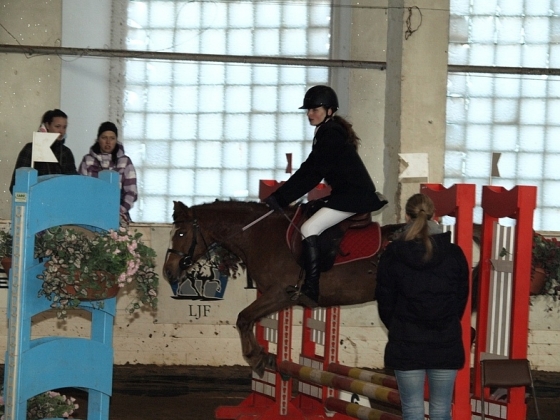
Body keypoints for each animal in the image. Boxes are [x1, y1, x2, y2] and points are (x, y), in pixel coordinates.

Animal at [162, 201, 402, 378]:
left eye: (181, 233)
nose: (168, 272)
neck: (258, 235)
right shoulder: (276, 295)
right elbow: (247, 320)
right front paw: (263, 356)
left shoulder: (280, 294)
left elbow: (243, 318)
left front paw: (256, 357)